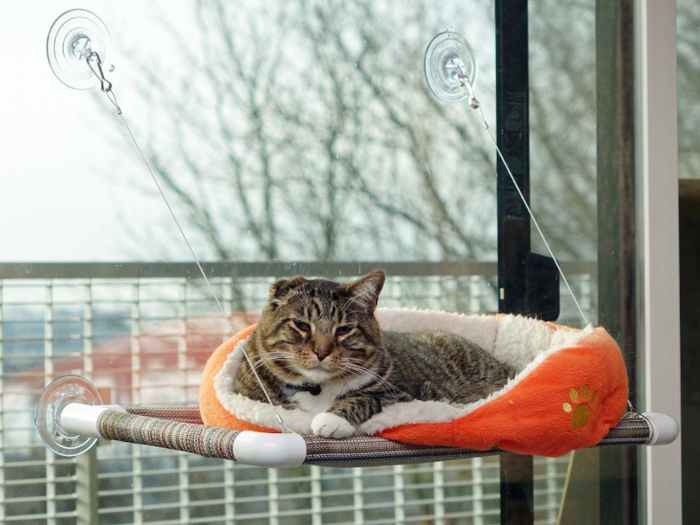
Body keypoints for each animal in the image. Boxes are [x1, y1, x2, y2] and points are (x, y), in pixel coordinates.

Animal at [235, 270, 516, 438]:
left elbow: (363, 397)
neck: (316, 388)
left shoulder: (401, 393)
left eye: (344, 329)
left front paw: (331, 419)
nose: (322, 351)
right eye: (302, 325)